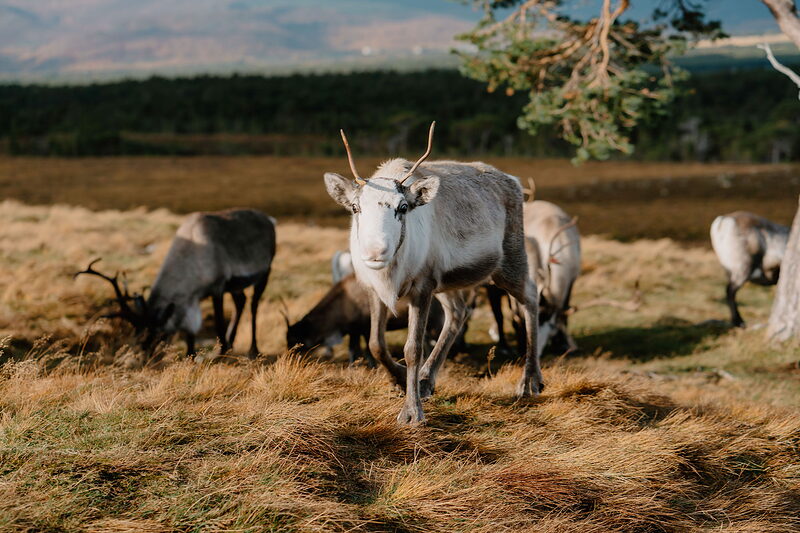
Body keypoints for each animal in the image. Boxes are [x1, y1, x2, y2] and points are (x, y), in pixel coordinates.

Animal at [75, 208, 276, 357]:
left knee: (254, 305)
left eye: (158, 331)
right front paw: (191, 354)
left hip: (265, 272)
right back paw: (233, 343)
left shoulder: (217, 287)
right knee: (240, 302)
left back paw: (253, 349)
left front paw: (221, 352)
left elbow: (218, 323)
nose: (144, 354)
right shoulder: (192, 298)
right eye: (137, 331)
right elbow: (190, 332)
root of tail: (269, 219)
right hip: (236, 286)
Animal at [324, 121, 540, 425]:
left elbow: (413, 348)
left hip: (509, 260)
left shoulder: (422, 286)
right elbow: (377, 343)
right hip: (447, 282)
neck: (391, 274)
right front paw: (400, 379)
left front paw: (412, 412)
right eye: (355, 207)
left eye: (403, 207)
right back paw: (426, 379)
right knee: (458, 312)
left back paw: (530, 381)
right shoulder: (374, 288)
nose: (375, 252)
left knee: (531, 295)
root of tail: (514, 181)